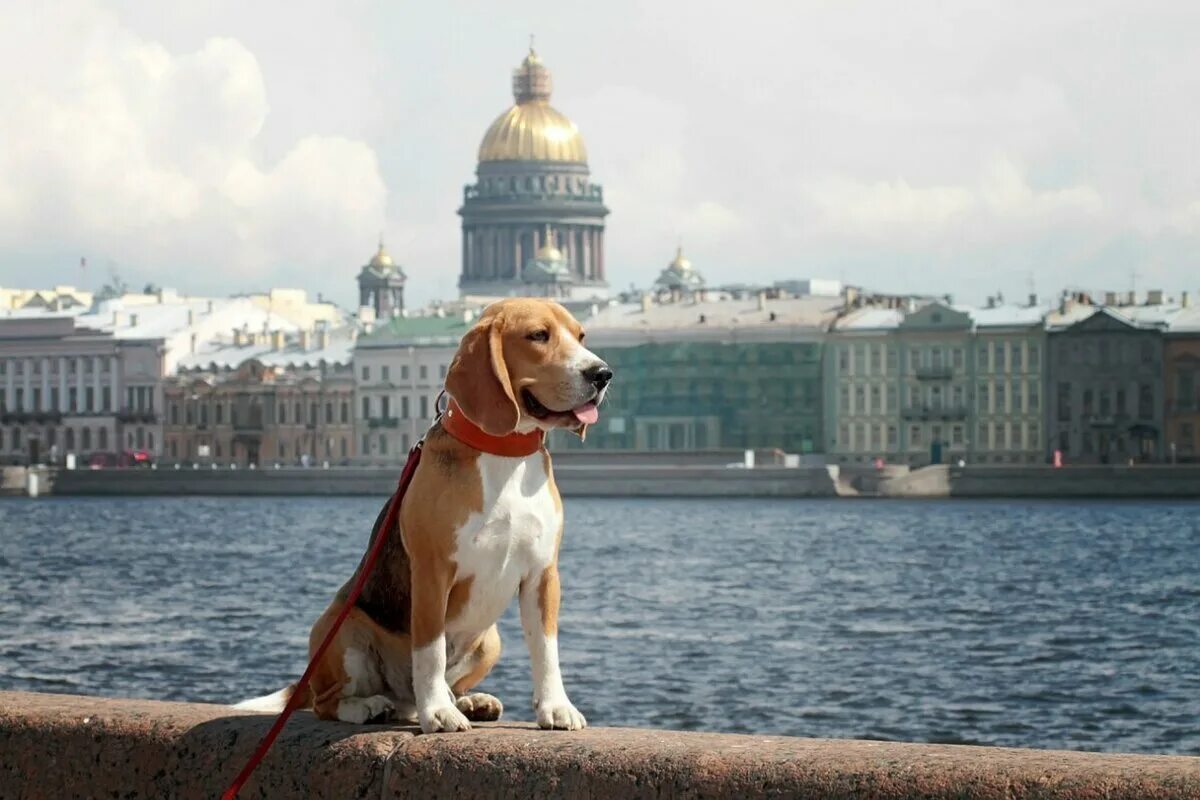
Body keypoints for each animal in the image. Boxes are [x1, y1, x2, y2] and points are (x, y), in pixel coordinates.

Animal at [236, 298, 609, 734]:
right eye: (538, 335)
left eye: (581, 335)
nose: (602, 374)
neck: (505, 455)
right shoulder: (433, 573)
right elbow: (429, 651)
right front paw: (438, 714)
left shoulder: (542, 575)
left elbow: (546, 648)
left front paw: (556, 707)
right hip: (342, 629)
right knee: (327, 702)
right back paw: (373, 706)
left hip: (490, 639)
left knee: (432, 688)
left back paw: (468, 701)